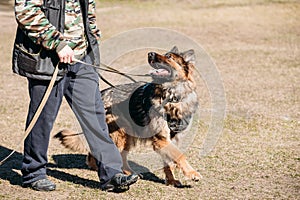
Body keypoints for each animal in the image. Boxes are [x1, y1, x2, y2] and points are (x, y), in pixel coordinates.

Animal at [55, 46, 203, 187]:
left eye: (169, 57)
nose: (150, 54)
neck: (171, 97)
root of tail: (101, 95)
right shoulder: (161, 139)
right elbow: (179, 155)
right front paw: (192, 173)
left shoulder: (170, 139)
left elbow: (169, 162)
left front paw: (171, 180)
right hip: (120, 135)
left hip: (128, 135)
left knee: (117, 155)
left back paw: (127, 172)